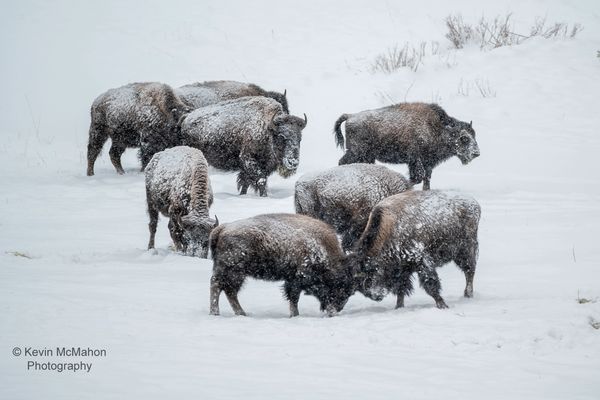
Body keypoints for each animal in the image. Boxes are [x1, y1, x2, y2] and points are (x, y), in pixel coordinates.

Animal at [180, 97, 308, 197]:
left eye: (300, 139)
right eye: (281, 137)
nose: (293, 162)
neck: (267, 129)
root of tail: (185, 119)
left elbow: (246, 183)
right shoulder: (248, 160)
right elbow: (260, 180)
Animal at [209, 214, 354, 318]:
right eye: (339, 286)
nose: (337, 310)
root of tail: (222, 228)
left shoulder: (292, 279)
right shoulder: (297, 279)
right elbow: (294, 298)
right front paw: (295, 315)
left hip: (233, 272)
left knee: (227, 290)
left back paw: (238, 313)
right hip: (234, 271)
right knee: (221, 287)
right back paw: (219, 312)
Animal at [332, 103, 478, 191]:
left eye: (474, 135)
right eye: (464, 138)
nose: (476, 153)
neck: (437, 128)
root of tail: (350, 116)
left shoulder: (427, 163)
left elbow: (426, 179)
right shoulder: (415, 160)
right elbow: (417, 177)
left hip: (367, 156)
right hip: (356, 152)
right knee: (342, 162)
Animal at [352, 190, 482, 310]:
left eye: (372, 271)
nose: (376, 295)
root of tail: (474, 203)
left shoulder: (422, 262)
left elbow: (430, 285)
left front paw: (442, 305)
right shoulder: (403, 268)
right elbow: (401, 289)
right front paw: (398, 307)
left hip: (466, 250)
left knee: (469, 271)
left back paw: (468, 295)